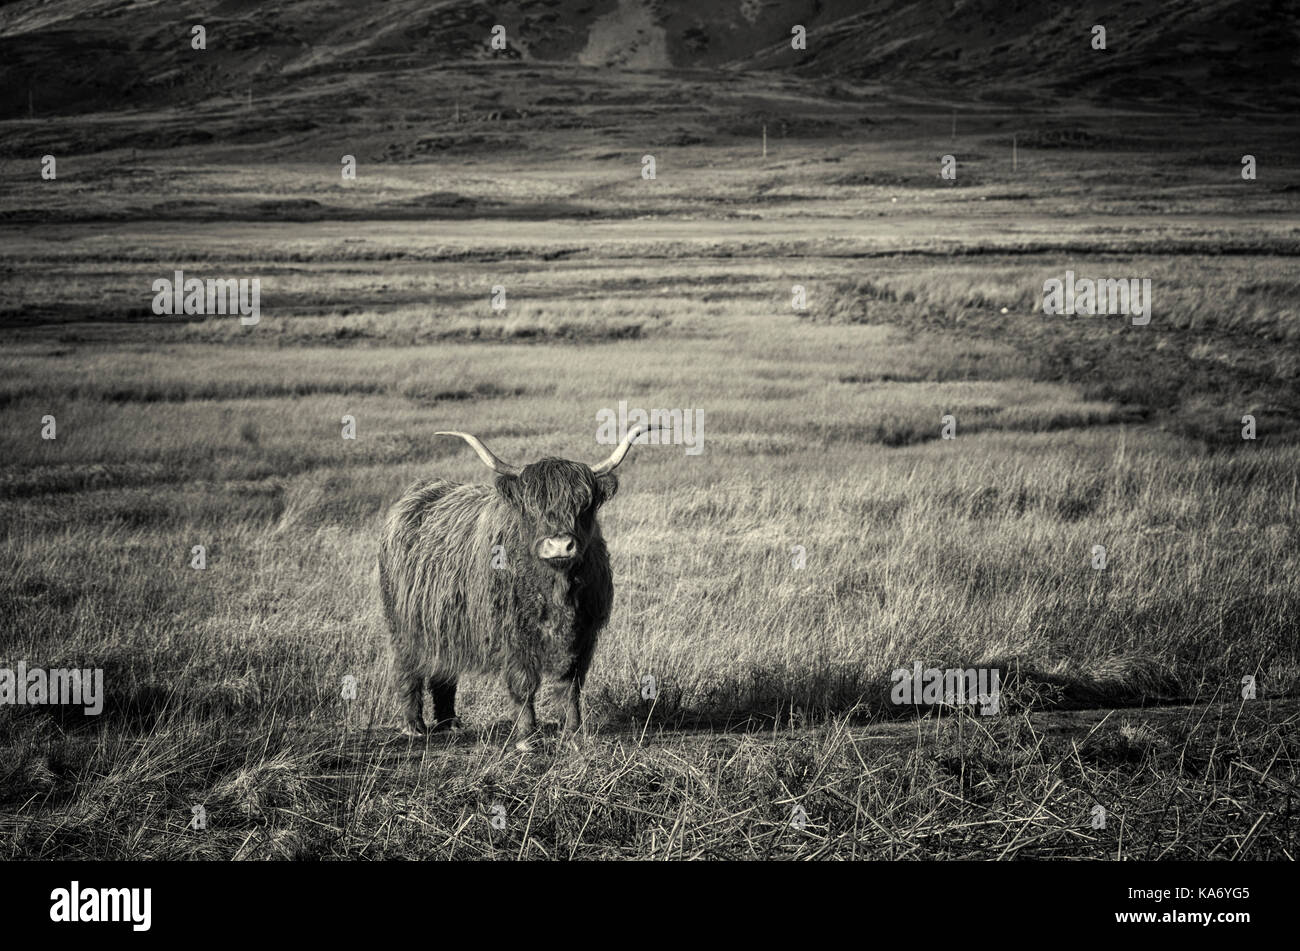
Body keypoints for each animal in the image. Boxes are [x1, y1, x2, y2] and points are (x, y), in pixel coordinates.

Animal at [379, 423, 660, 743]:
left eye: (584, 505)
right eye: (531, 507)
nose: (560, 545)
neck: (556, 589)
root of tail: (418, 491)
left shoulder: (583, 635)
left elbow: (570, 684)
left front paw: (573, 731)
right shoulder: (512, 634)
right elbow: (524, 683)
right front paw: (526, 736)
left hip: (443, 622)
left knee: (444, 669)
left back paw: (449, 722)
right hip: (403, 625)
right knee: (407, 669)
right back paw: (414, 726)